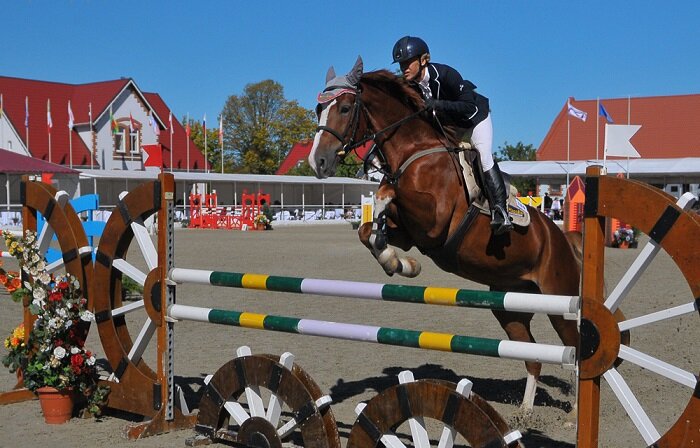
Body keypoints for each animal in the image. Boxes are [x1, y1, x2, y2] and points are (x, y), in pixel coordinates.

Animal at [308, 57, 580, 412]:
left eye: (343, 107)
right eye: (318, 109)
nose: (318, 162)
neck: (415, 150)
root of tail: (561, 239)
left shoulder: (432, 222)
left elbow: (388, 192)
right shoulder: (412, 234)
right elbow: (368, 231)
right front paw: (399, 263)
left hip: (559, 299)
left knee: (575, 350)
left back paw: (574, 411)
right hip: (509, 304)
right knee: (532, 355)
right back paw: (525, 412)